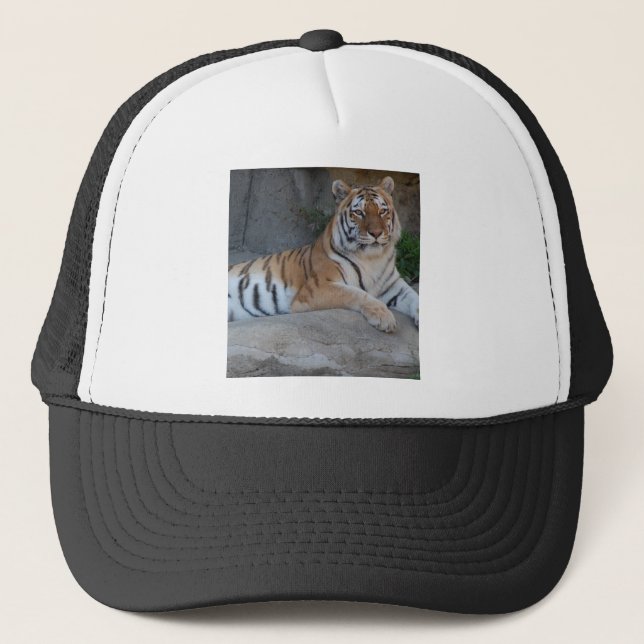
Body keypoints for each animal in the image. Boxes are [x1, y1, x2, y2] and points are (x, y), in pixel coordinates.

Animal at [228, 176, 419, 333]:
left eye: (382, 211)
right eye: (359, 212)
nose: (376, 233)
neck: (373, 258)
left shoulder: (394, 285)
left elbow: (415, 297)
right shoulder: (318, 287)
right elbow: (358, 294)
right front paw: (384, 317)